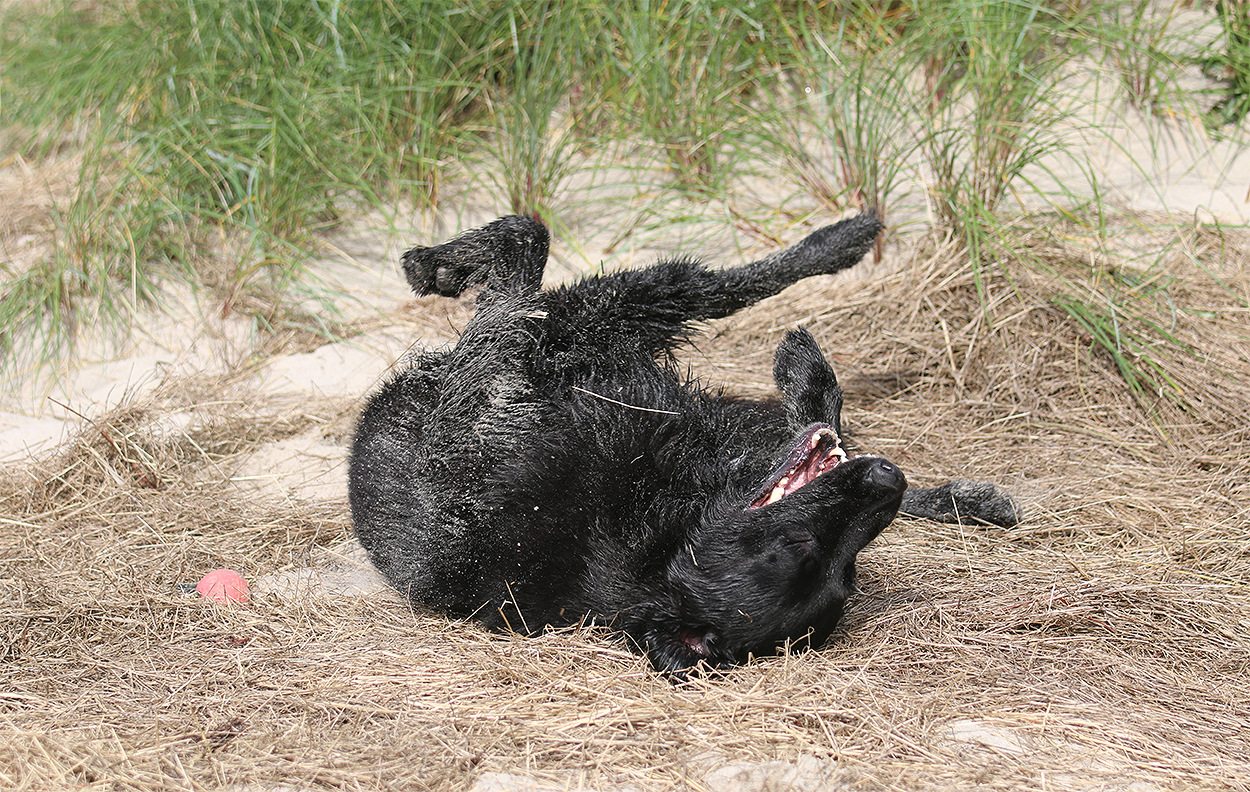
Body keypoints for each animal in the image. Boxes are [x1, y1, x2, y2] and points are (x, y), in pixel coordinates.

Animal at [349, 214, 1018, 676]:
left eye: (841, 568)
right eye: (802, 547)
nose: (887, 482)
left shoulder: (497, 384)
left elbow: (517, 278)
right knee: (697, 283)